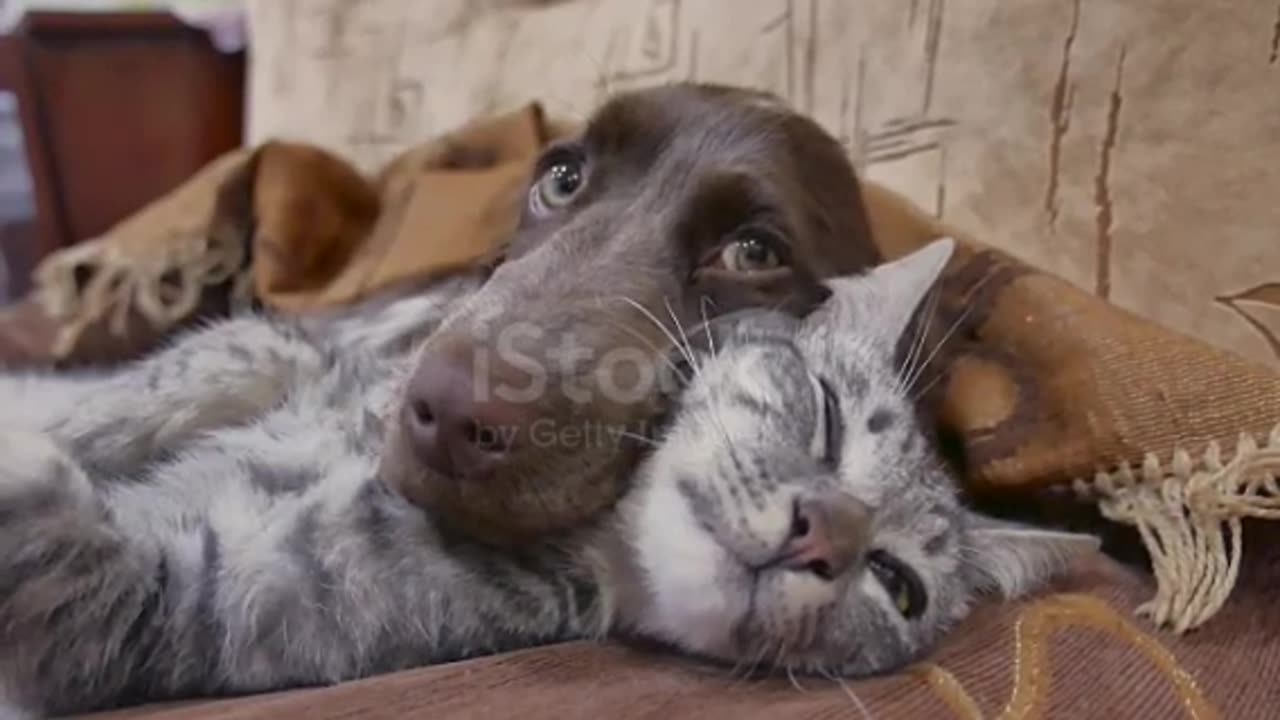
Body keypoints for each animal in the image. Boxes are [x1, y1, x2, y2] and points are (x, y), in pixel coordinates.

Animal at [0, 238, 1095, 712]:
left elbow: (57, 527)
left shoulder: (172, 607)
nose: (818, 533)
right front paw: (86, 418)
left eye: (896, 583)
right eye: (823, 416)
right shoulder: (298, 353)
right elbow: (192, 375)